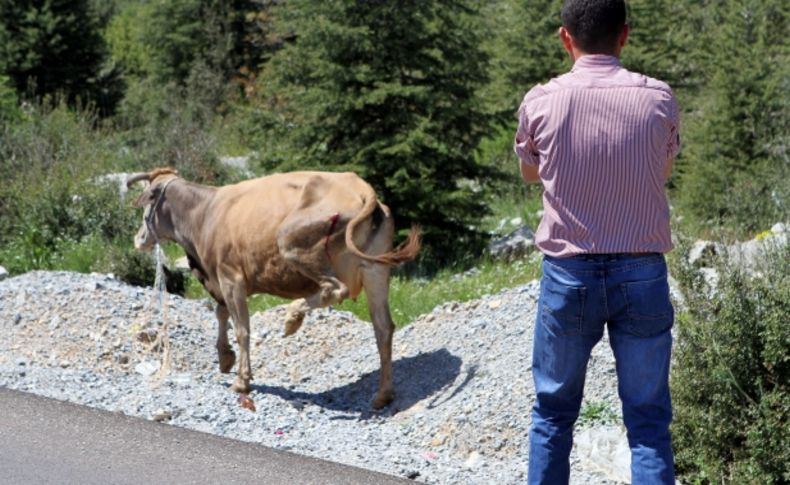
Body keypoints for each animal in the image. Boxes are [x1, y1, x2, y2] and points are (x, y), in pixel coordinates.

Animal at [127, 168, 420, 406]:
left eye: (146, 204)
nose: (138, 239)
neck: (204, 213)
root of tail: (361, 188)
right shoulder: (219, 279)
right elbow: (221, 313)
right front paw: (224, 357)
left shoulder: (230, 276)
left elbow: (242, 328)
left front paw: (241, 380)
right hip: (375, 270)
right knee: (383, 327)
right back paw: (383, 395)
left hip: (291, 242)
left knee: (336, 290)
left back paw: (292, 317)